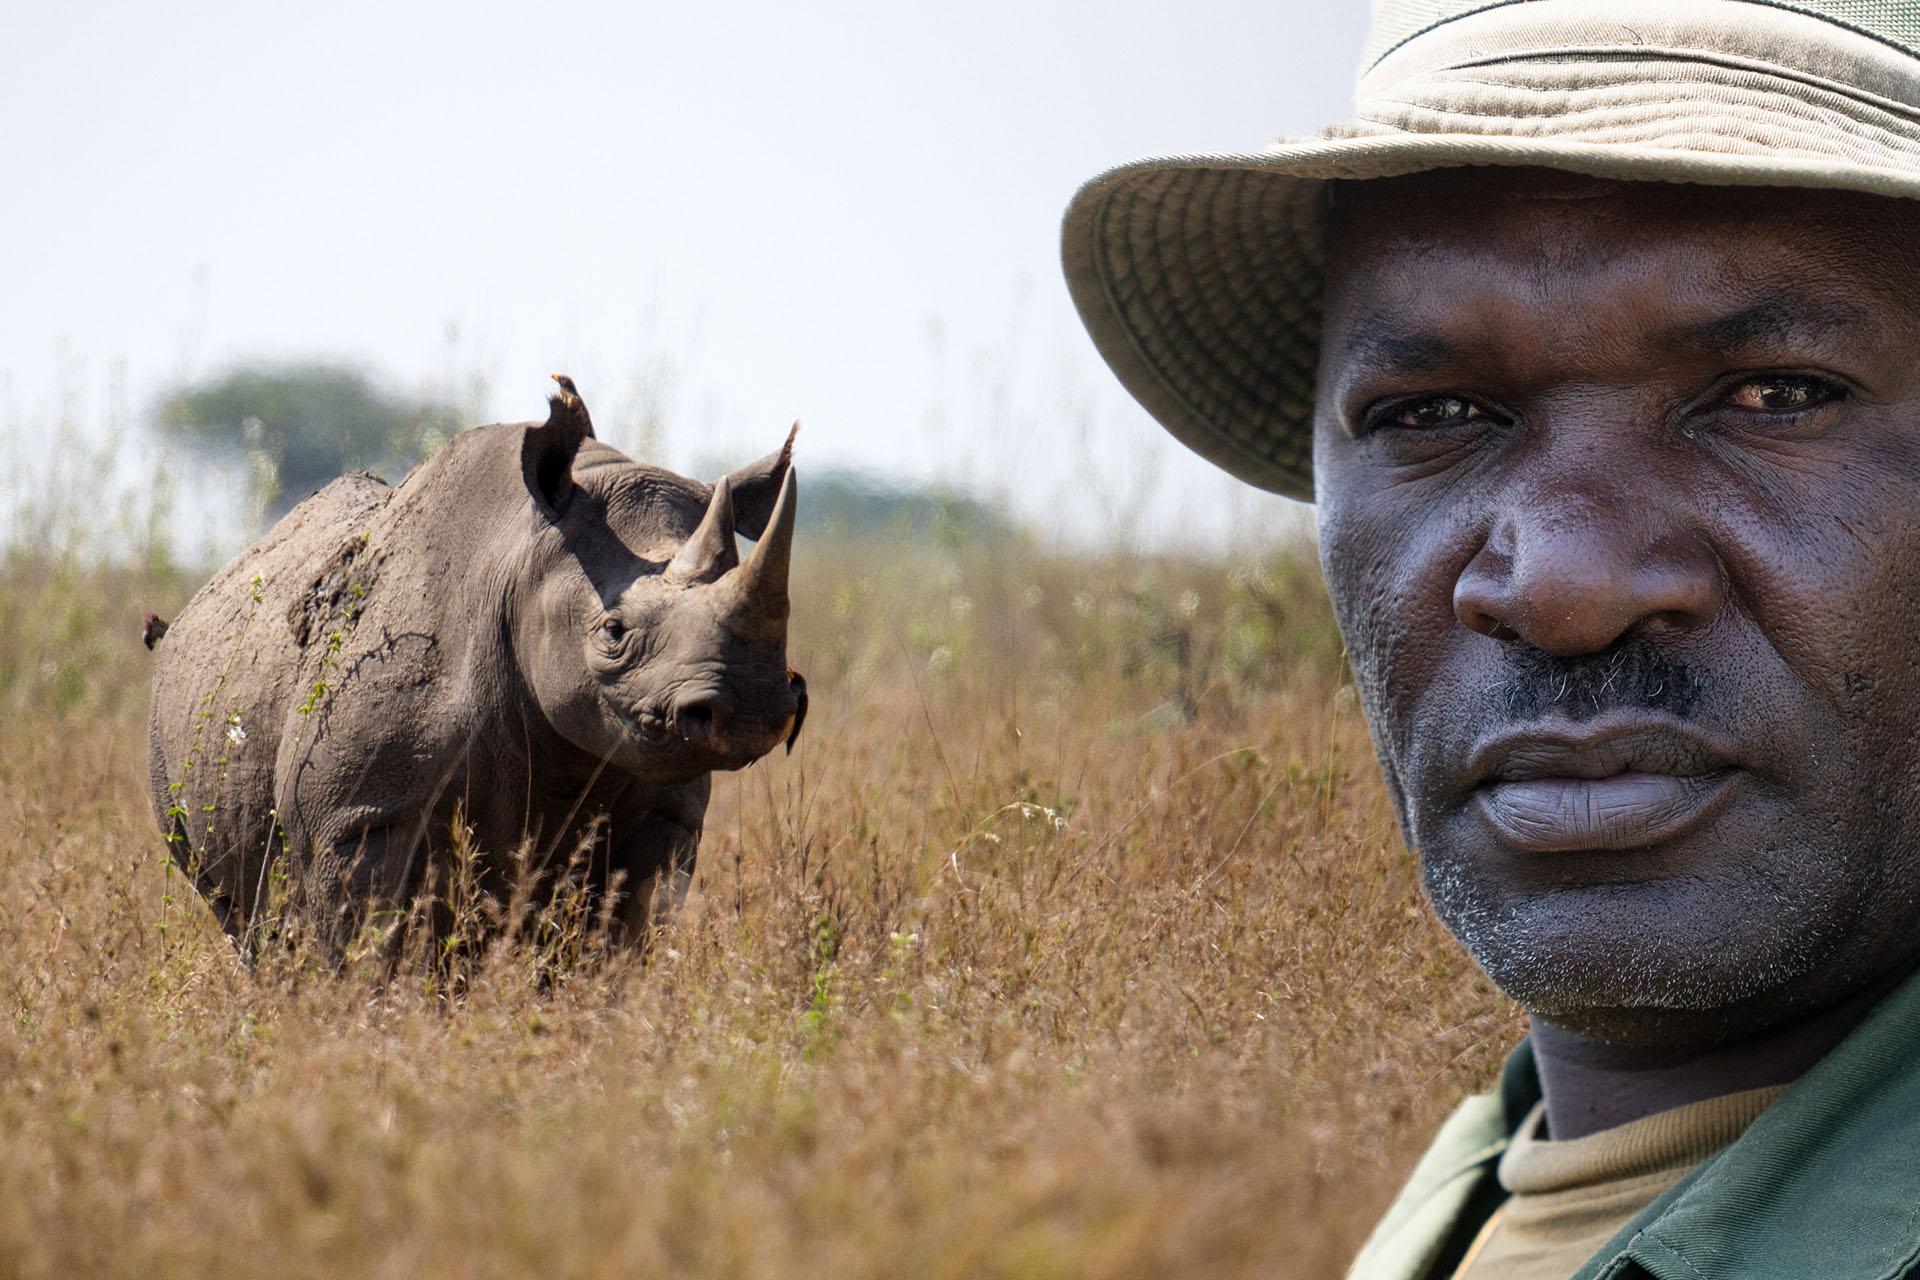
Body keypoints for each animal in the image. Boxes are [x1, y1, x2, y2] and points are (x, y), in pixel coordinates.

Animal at [146, 375, 805, 959]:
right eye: (613, 633)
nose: (750, 710)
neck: (519, 564)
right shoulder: (359, 814)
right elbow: (366, 944)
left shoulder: (665, 807)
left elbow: (622, 936)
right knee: (240, 917)